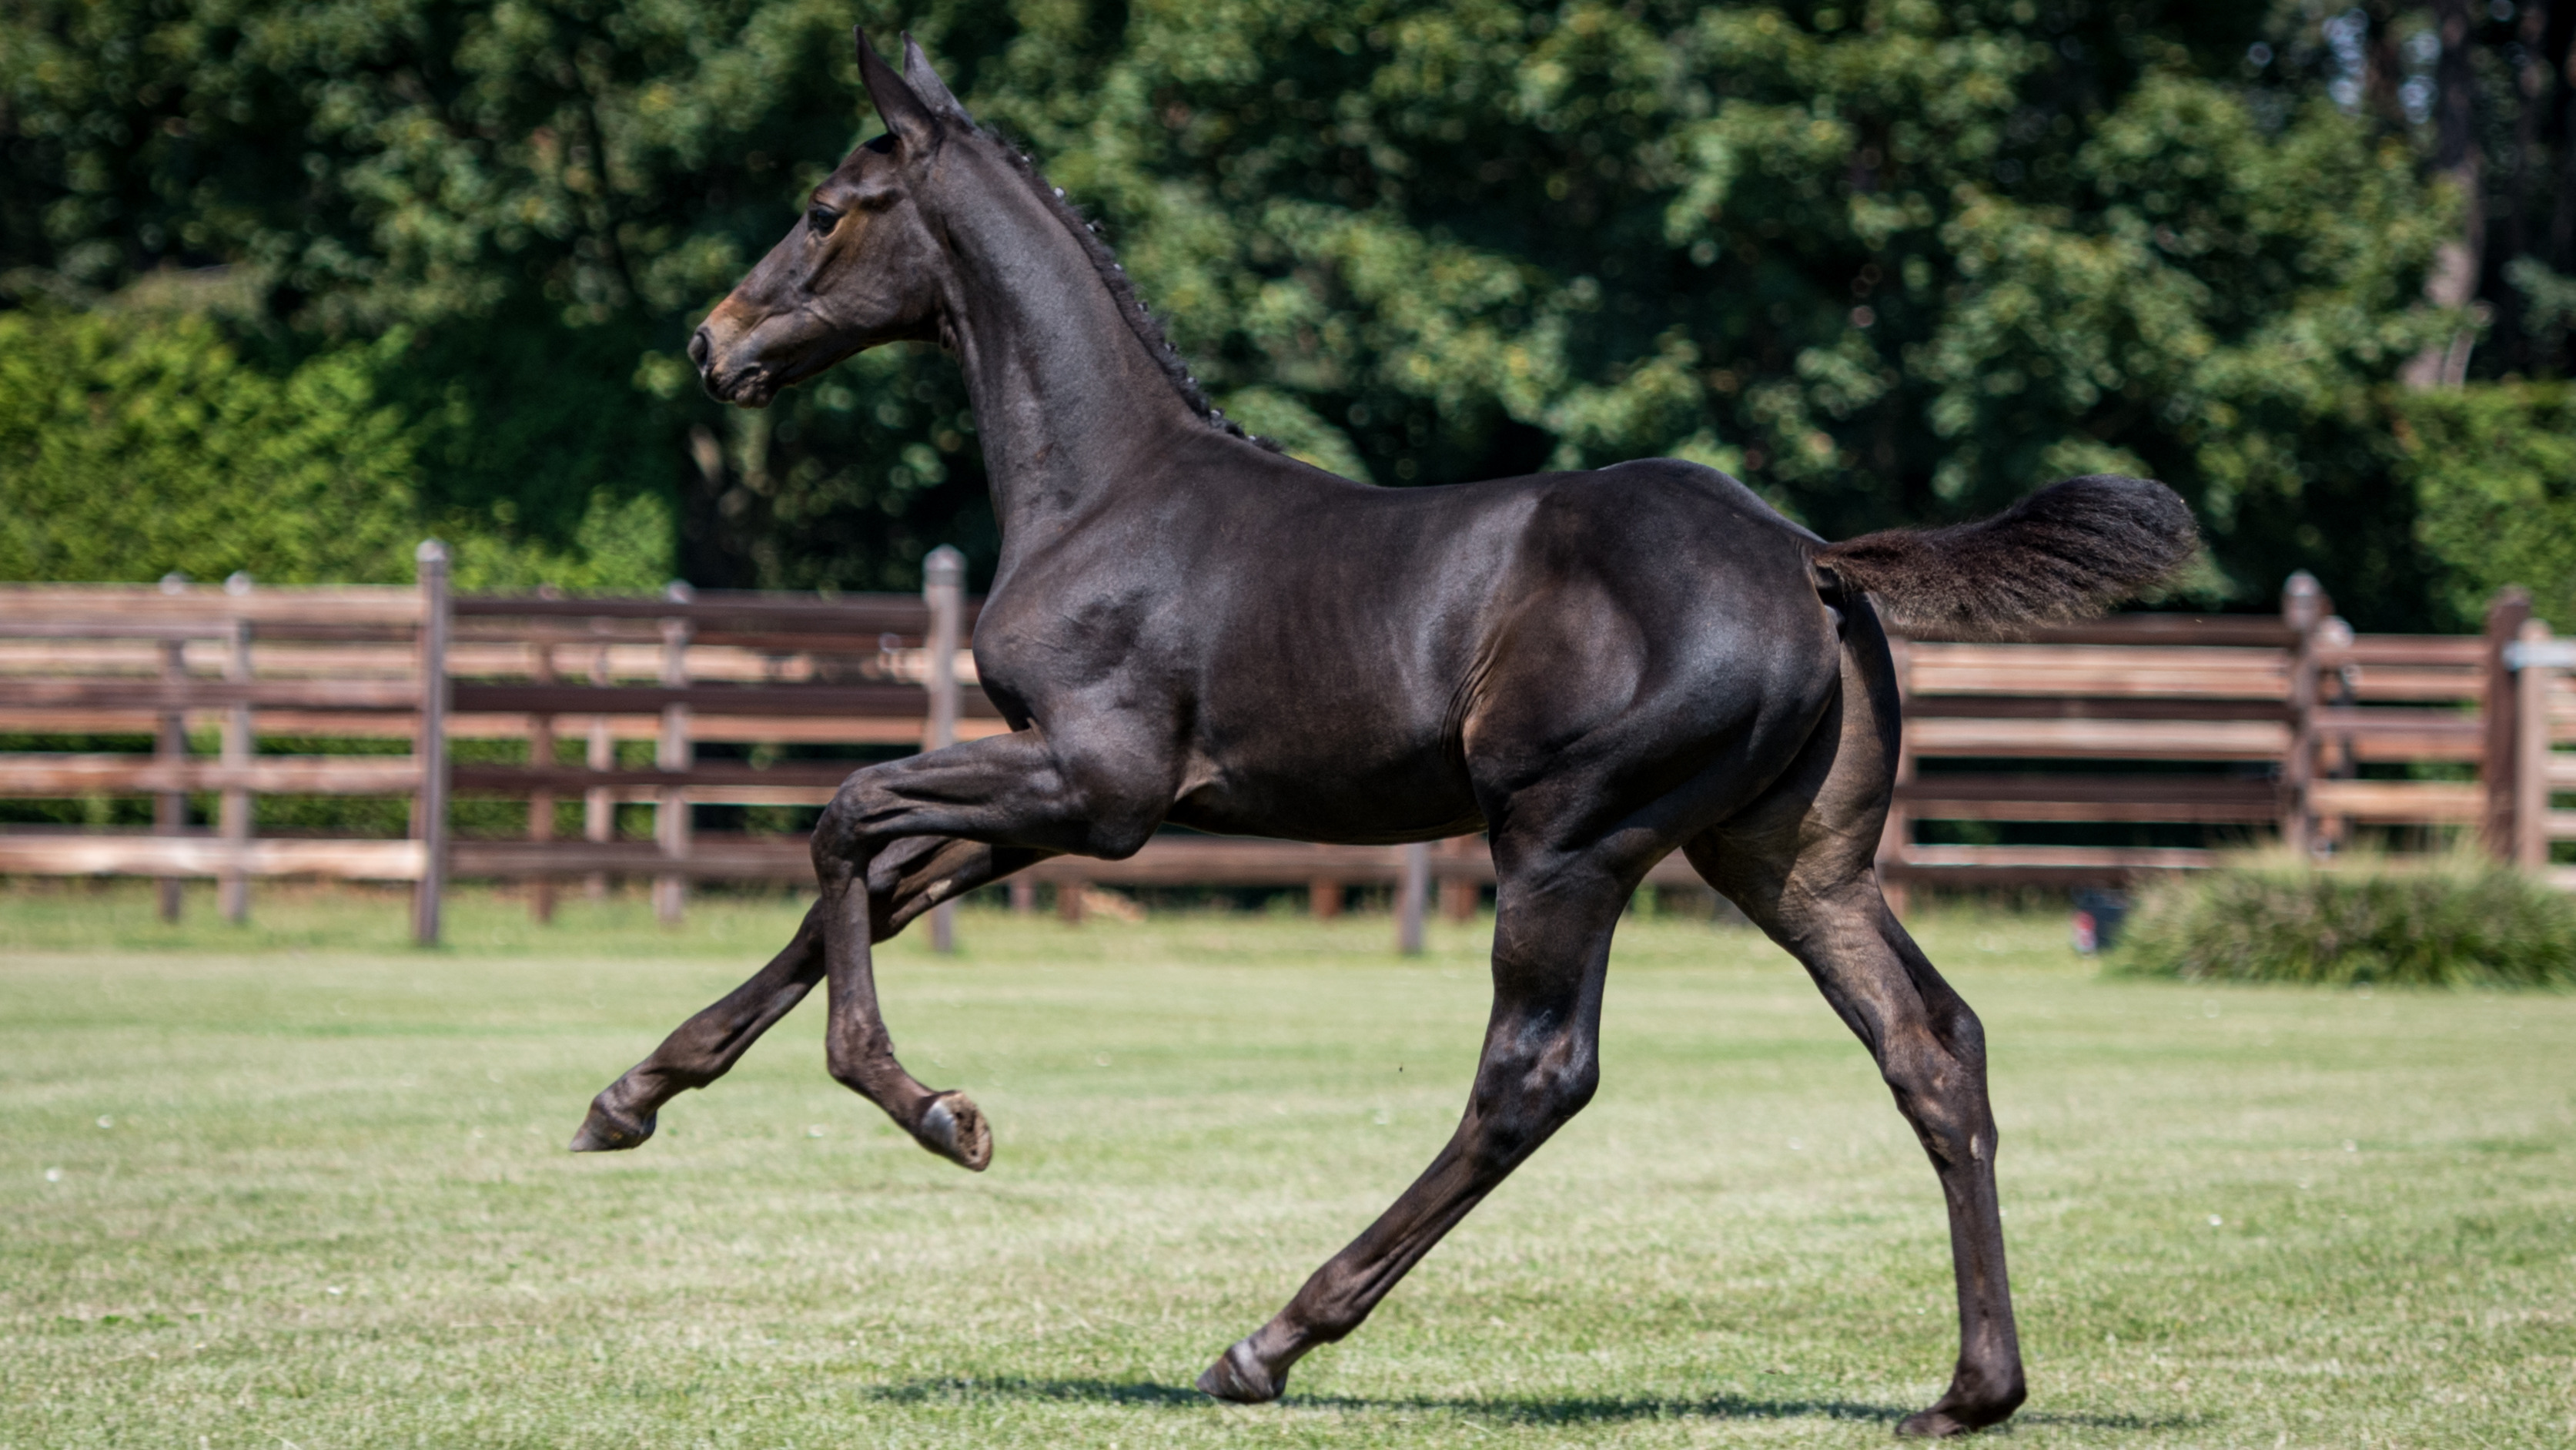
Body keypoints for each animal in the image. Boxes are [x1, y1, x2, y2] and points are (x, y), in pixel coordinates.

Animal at [570, 32, 2197, 1438]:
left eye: (822, 211)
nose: (711, 345)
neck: (1107, 489)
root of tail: (1807, 554)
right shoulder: (1063, 794)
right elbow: (874, 883)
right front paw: (626, 1098)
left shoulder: (1099, 785)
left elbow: (845, 817)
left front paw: (932, 1110)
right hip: (1789, 860)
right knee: (1932, 1043)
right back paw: (1969, 1388)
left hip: (1568, 839)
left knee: (1534, 1074)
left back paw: (1267, 1339)